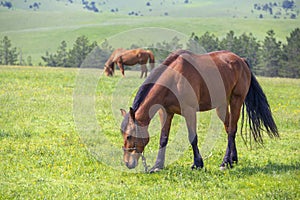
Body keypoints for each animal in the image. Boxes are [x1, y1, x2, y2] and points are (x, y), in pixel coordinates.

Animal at [120, 49, 278, 172]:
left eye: (129, 136)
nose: (127, 163)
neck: (173, 79)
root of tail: (241, 61)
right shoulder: (166, 112)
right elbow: (163, 138)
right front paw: (157, 165)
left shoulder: (189, 111)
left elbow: (193, 137)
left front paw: (197, 164)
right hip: (221, 107)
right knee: (229, 129)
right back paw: (233, 159)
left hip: (236, 101)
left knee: (232, 130)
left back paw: (225, 162)